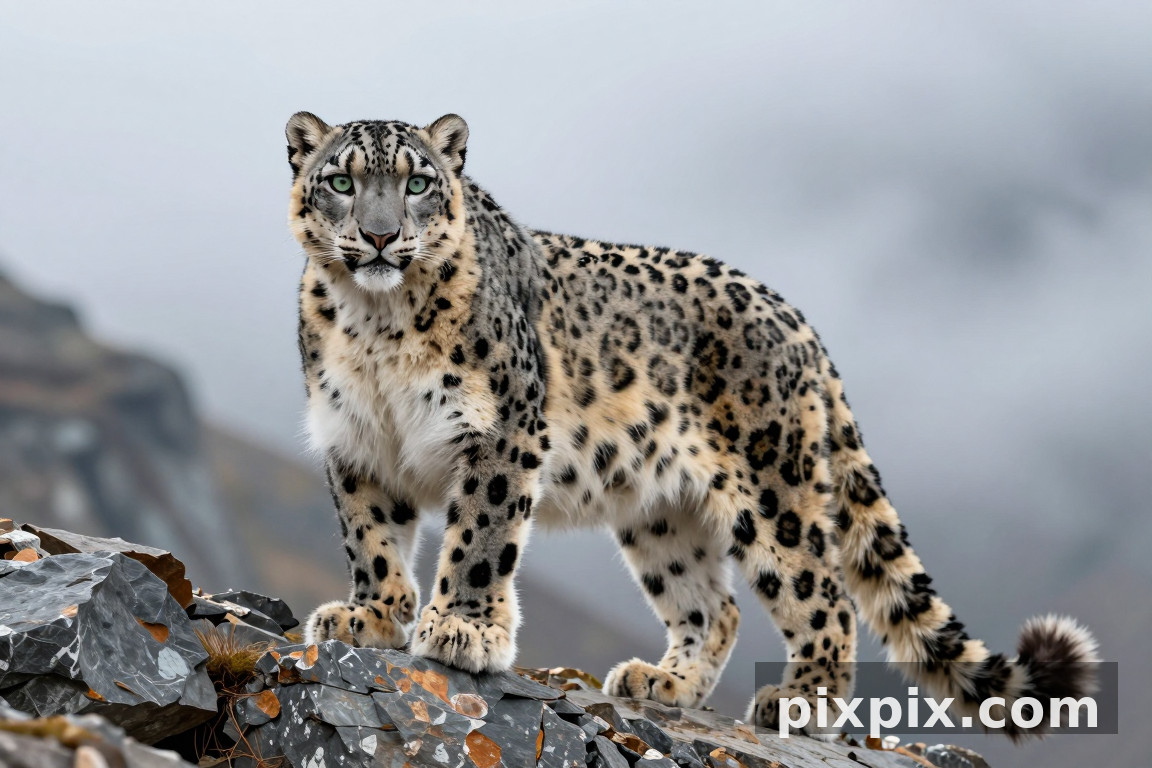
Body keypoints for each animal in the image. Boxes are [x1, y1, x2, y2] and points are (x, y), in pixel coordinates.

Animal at [285, 111, 1098, 733]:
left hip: (774, 490)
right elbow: (372, 538)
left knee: (824, 594)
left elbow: (480, 536)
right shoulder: (356, 442)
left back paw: (801, 702)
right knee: (715, 605)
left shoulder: (501, 430)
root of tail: (798, 319)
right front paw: (369, 616)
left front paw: (462, 629)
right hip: (661, 516)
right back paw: (665, 681)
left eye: (418, 183)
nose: (381, 236)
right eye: (341, 181)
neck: (378, 326)